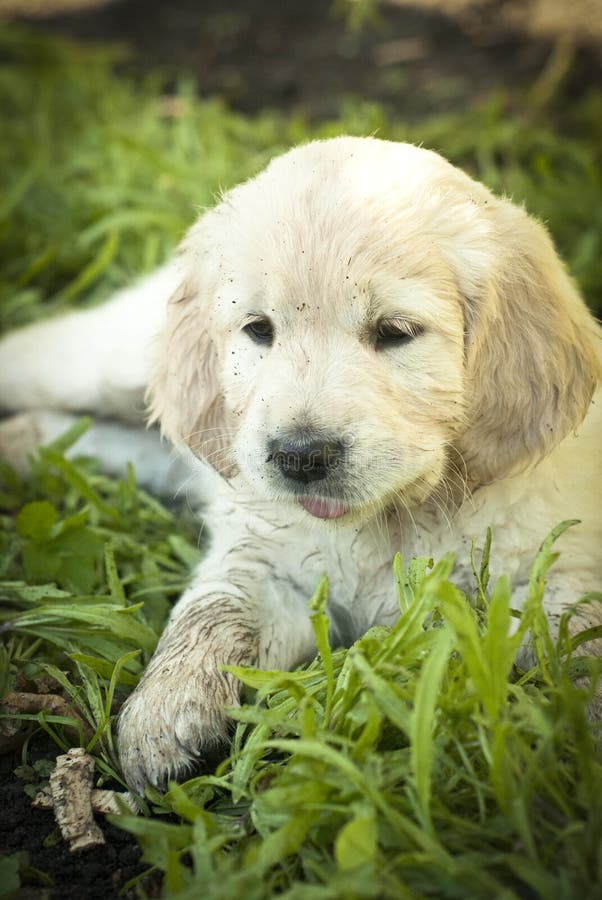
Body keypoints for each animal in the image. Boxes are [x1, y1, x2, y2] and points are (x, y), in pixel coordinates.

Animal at [1, 134, 600, 788]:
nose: (300, 456)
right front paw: (166, 712)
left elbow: (583, 636)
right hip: (108, 365)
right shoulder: (261, 562)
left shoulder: (558, 570)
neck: (390, 521)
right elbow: (211, 611)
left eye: (395, 331)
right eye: (259, 329)